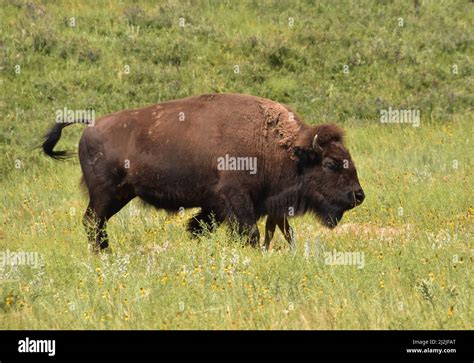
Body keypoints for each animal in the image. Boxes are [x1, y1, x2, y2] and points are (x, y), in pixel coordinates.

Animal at [42, 94, 364, 253]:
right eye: (331, 163)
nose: (358, 195)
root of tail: (90, 125)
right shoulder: (237, 199)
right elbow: (250, 232)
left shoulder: (220, 205)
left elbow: (201, 226)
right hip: (105, 194)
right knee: (92, 222)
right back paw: (104, 253)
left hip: (119, 195)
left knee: (96, 223)